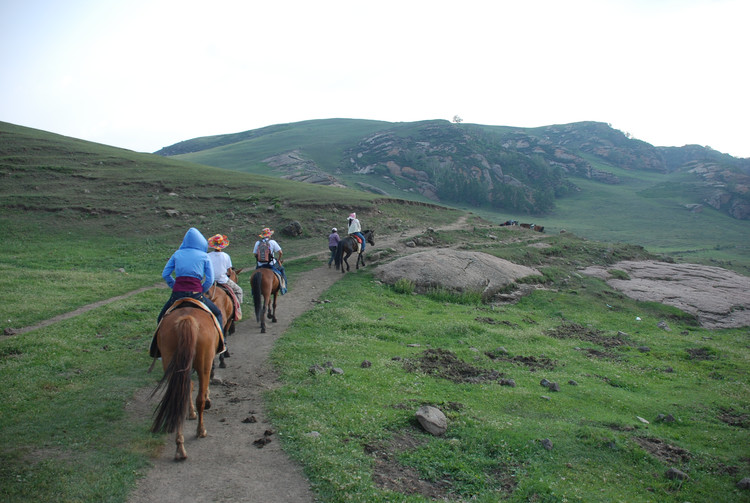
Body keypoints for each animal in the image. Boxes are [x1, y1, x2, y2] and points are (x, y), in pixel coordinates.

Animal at [150, 302, 223, 462]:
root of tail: (187, 319)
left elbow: (188, 388)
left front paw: (190, 413)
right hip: (204, 364)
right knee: (200, 399)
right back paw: (200, 431)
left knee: (178, 398)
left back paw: (180, 448)